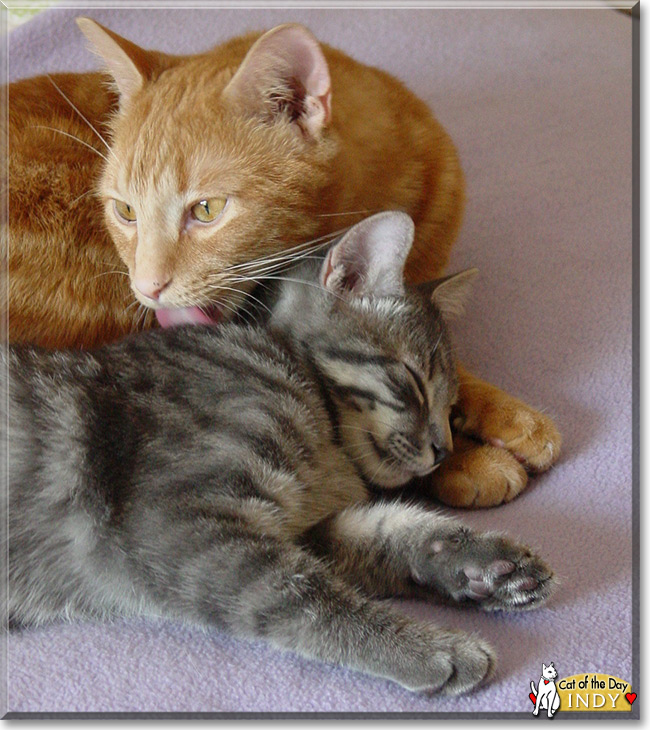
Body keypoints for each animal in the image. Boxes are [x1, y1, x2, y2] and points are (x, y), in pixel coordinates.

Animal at [2, 212, 556, 692]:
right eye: (413, 382)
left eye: (453, 404)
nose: (443, 450)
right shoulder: (176, 523)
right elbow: (304, 597)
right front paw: (428, 647)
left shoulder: (303, 528)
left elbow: (391, 531)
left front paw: (482, 564)